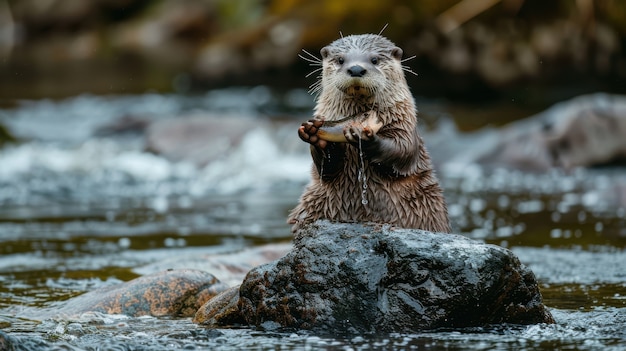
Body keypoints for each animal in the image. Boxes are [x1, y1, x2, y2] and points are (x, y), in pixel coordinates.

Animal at [288, 35, 448, 234]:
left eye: (374, 60)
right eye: (340, 59)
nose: (356, 69)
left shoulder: (404, 126)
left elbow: (403, 150)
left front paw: (365, 138)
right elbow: (326, 170)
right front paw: (316, 137)